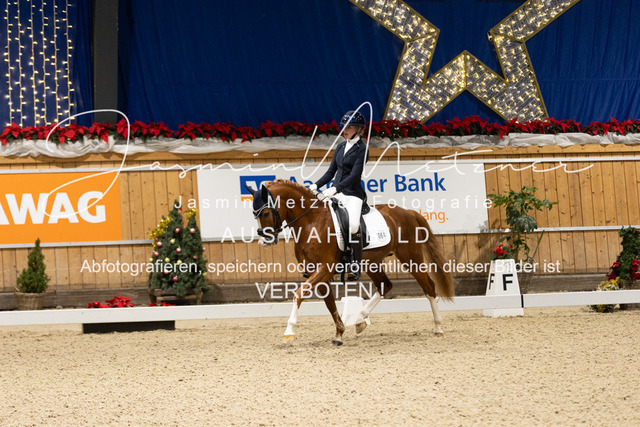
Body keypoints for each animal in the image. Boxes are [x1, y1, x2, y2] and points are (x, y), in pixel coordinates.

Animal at [245, 179, 454, 345]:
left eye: (265, 213)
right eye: (254, 214)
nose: (265, 241)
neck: (311, 222)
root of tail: (409, 212)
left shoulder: (325, 268)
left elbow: (299, 294)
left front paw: (289, 331)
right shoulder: (316, 271)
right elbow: (329, 303)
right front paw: (339, 334)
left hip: (411, 257)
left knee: (429, 287)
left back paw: (438, 328)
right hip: (372, 263)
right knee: (385, 285)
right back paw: (360, 320)